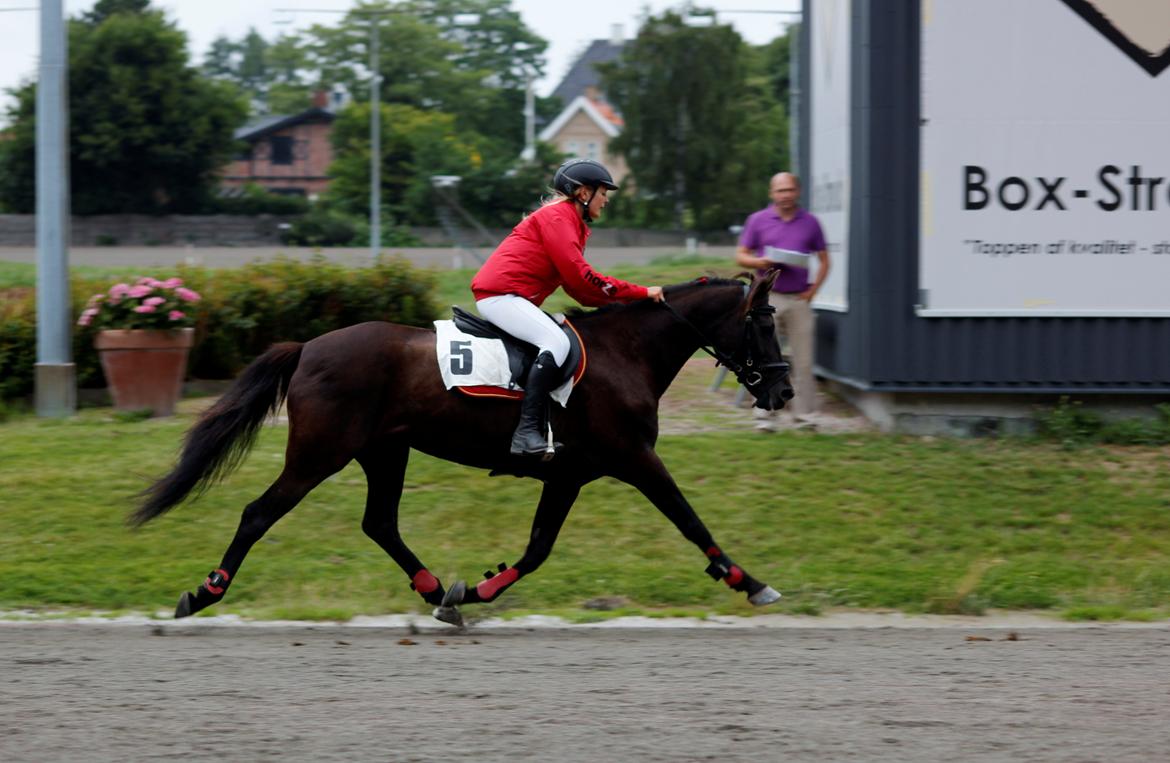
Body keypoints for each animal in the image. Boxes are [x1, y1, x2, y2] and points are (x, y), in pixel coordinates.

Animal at [132, 273, 794, 625]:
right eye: (764, 322)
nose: (784, 390)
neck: (625, 351)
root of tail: (308, 347)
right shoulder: (635, 460)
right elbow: (689, 519)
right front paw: (748, 579)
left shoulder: (569, 476)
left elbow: (537, 549)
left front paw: (473, 591)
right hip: (318, 456)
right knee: (258, 514)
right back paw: (205, 592)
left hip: (385, 453)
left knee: (380, 523)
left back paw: (432, 588)